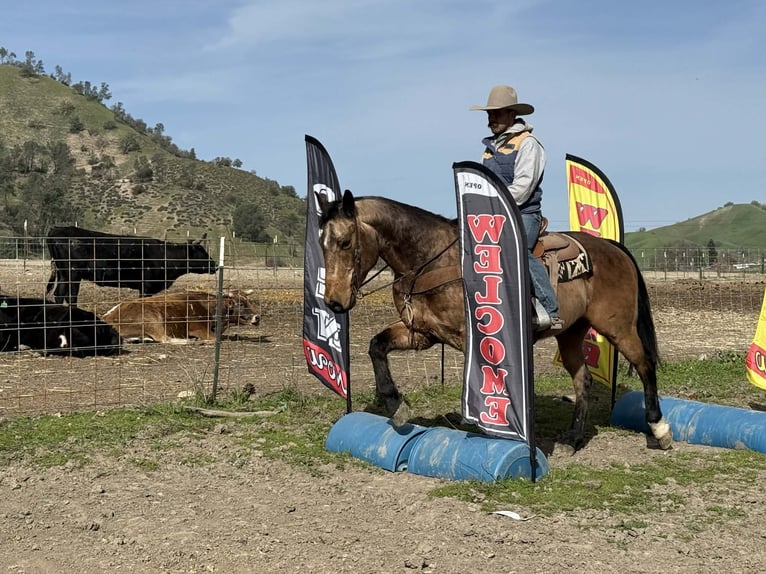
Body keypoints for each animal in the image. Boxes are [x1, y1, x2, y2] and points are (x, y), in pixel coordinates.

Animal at [316, 189, 673, 452]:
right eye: (321, 243)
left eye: (345, 242)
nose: (333, 301)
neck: (433, 259)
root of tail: (614, 247)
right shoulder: (422, 333)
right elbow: (376, 346)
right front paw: (395, 405)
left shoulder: (470, 337)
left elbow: (483, 379)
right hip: (571, 332)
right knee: (583, 379)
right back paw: (573, 438)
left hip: (618, 326)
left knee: (644, 364)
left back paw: (659, 429)